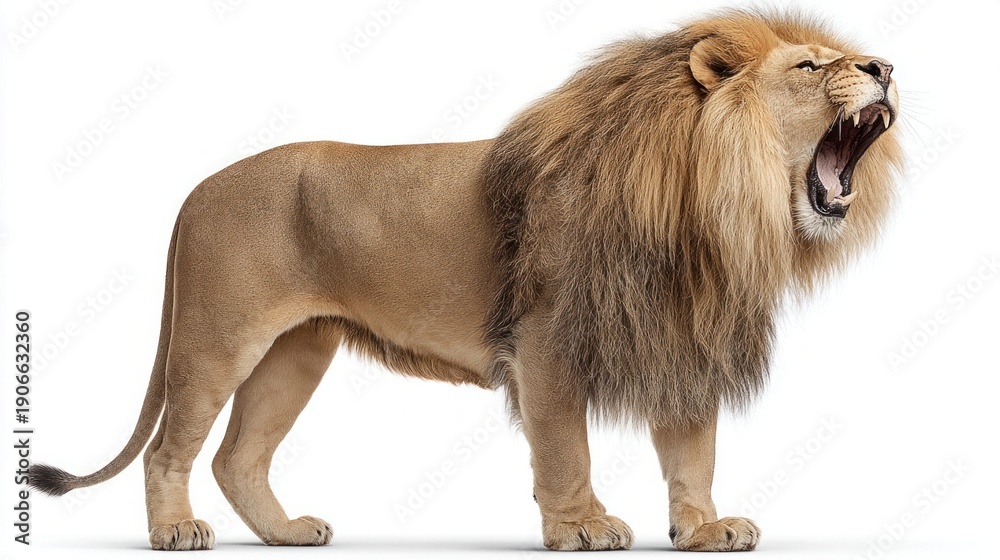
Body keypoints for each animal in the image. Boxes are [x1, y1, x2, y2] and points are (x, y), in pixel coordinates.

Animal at [29, 9, 901, 552]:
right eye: (810, 65)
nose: (886, 67)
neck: (718, 210)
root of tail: (196, 187)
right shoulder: (547, 341)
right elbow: (565, 448)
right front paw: (582, 527)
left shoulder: (680, 338)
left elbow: (695, 452)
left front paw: (703, 529)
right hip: (218, 338)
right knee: (170, 450)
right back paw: (174, 531)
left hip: (297, 351)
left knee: (237, 458)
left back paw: (286, 533)